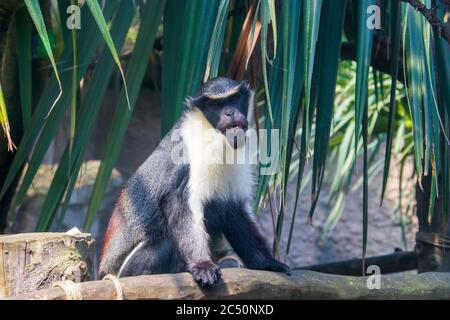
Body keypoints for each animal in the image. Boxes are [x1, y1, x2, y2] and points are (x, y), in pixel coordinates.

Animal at [98, 77, 290, 288]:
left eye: (234, 98)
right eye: (215, 105)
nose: (230, 112)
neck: (214, 138)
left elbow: (234, 211)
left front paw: (269, 263)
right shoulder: (186, 162)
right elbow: (180, 205)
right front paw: (202, 265)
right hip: (126, 271)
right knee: (165, 242)